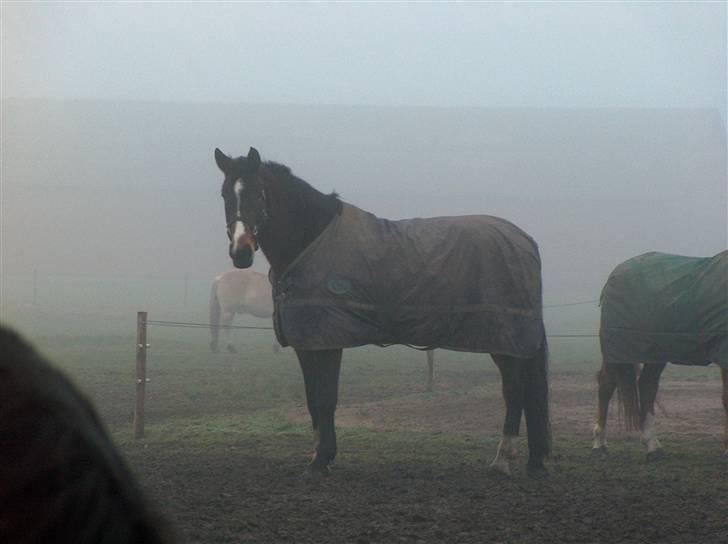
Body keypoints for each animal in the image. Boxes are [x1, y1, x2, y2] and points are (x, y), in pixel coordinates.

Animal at [592, 251, 728, 460]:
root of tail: (613, 278)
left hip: (654, 354)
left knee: (647, 386)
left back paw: (653, 446)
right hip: (618, 350)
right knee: (606, 385)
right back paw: (599, 444)